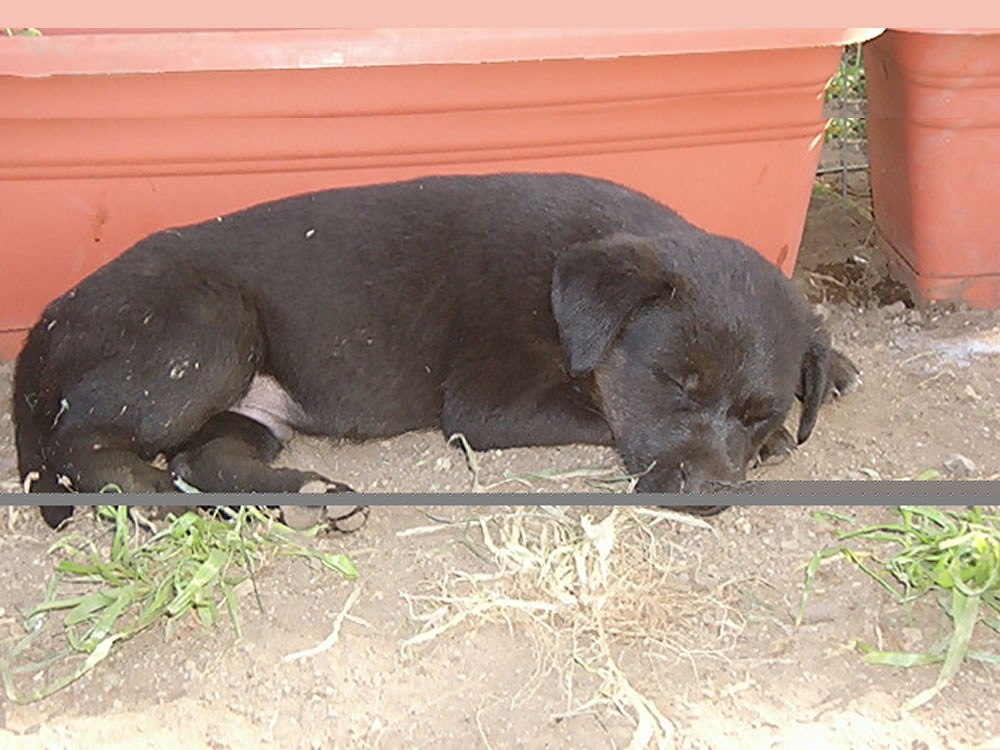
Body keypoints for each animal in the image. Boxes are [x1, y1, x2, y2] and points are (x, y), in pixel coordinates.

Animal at [11, 174, 860, 532]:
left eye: (755, 410)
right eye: (675, 384)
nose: (710, 494)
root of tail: (48, 317)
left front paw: (827, 379)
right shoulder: (492, 407)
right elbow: (600, 415)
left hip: (249, 402)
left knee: (202, 457)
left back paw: (307, 493)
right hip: (210, 329)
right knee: (81, 438)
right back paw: (141, 495)